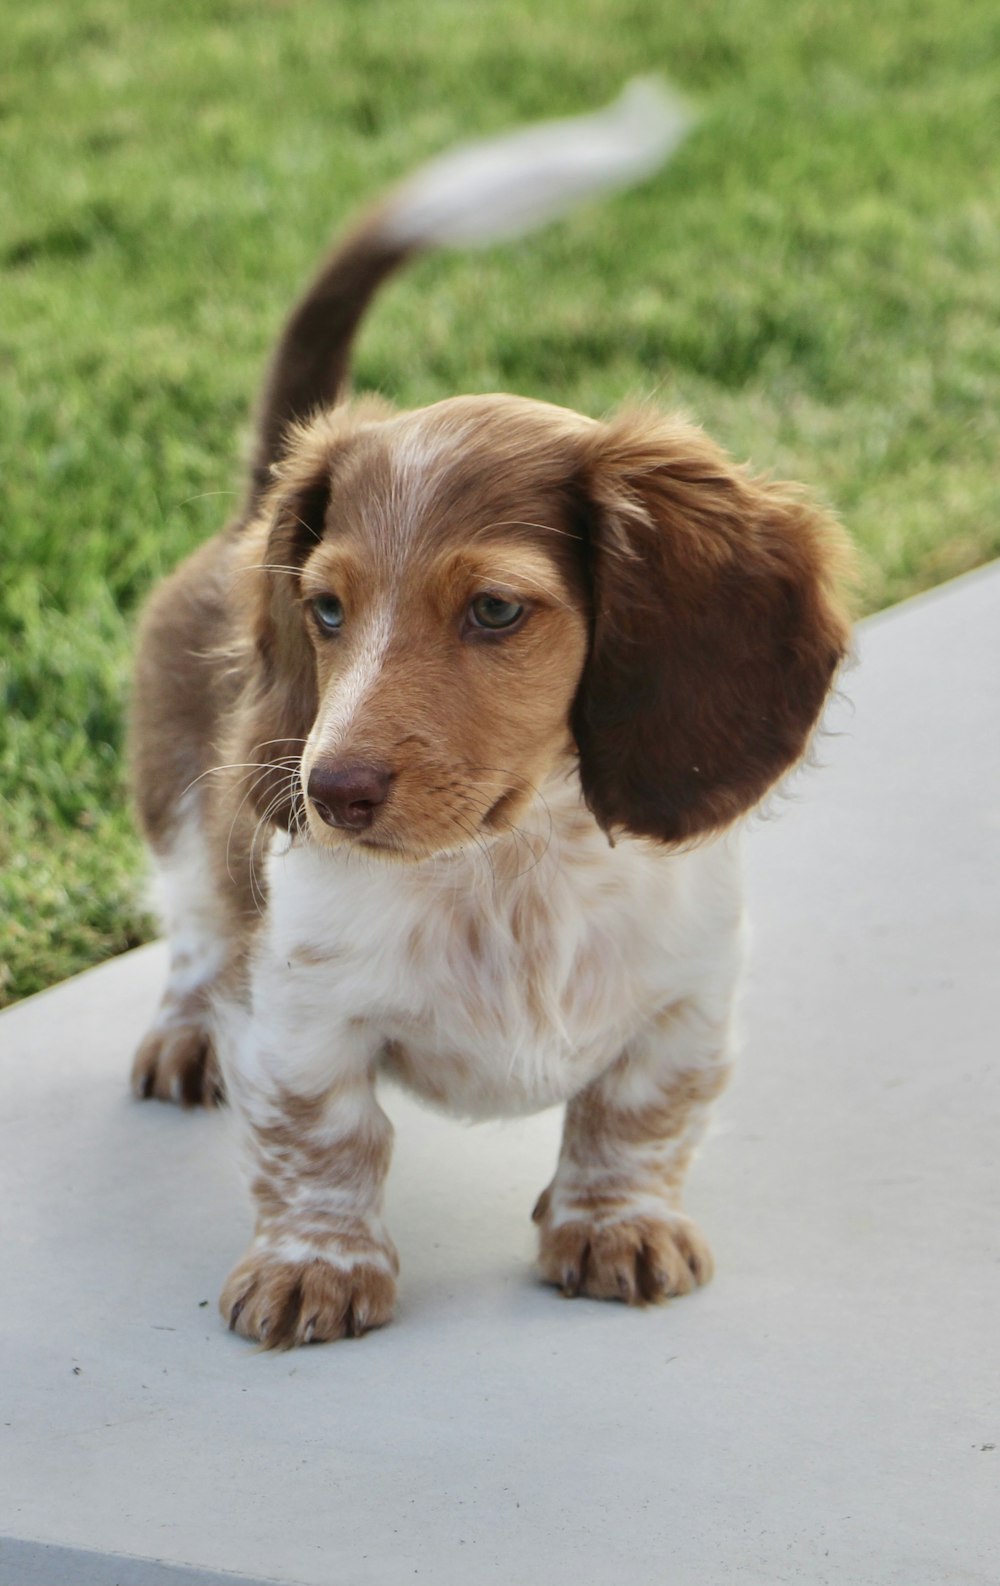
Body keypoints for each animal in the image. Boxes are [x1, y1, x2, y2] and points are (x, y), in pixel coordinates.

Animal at [129, 86, 855, 1344]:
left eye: (496, 609)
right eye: (326, 607)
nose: (328, 792)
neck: (509, 865)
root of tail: (250, 500)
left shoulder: (687, 999)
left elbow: (636, 1119)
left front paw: (617, 1228)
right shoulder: (298, 1015)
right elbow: (320, 1140)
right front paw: (313, 1266)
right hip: (177, 808)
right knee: (190, 925)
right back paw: (182, 1035)